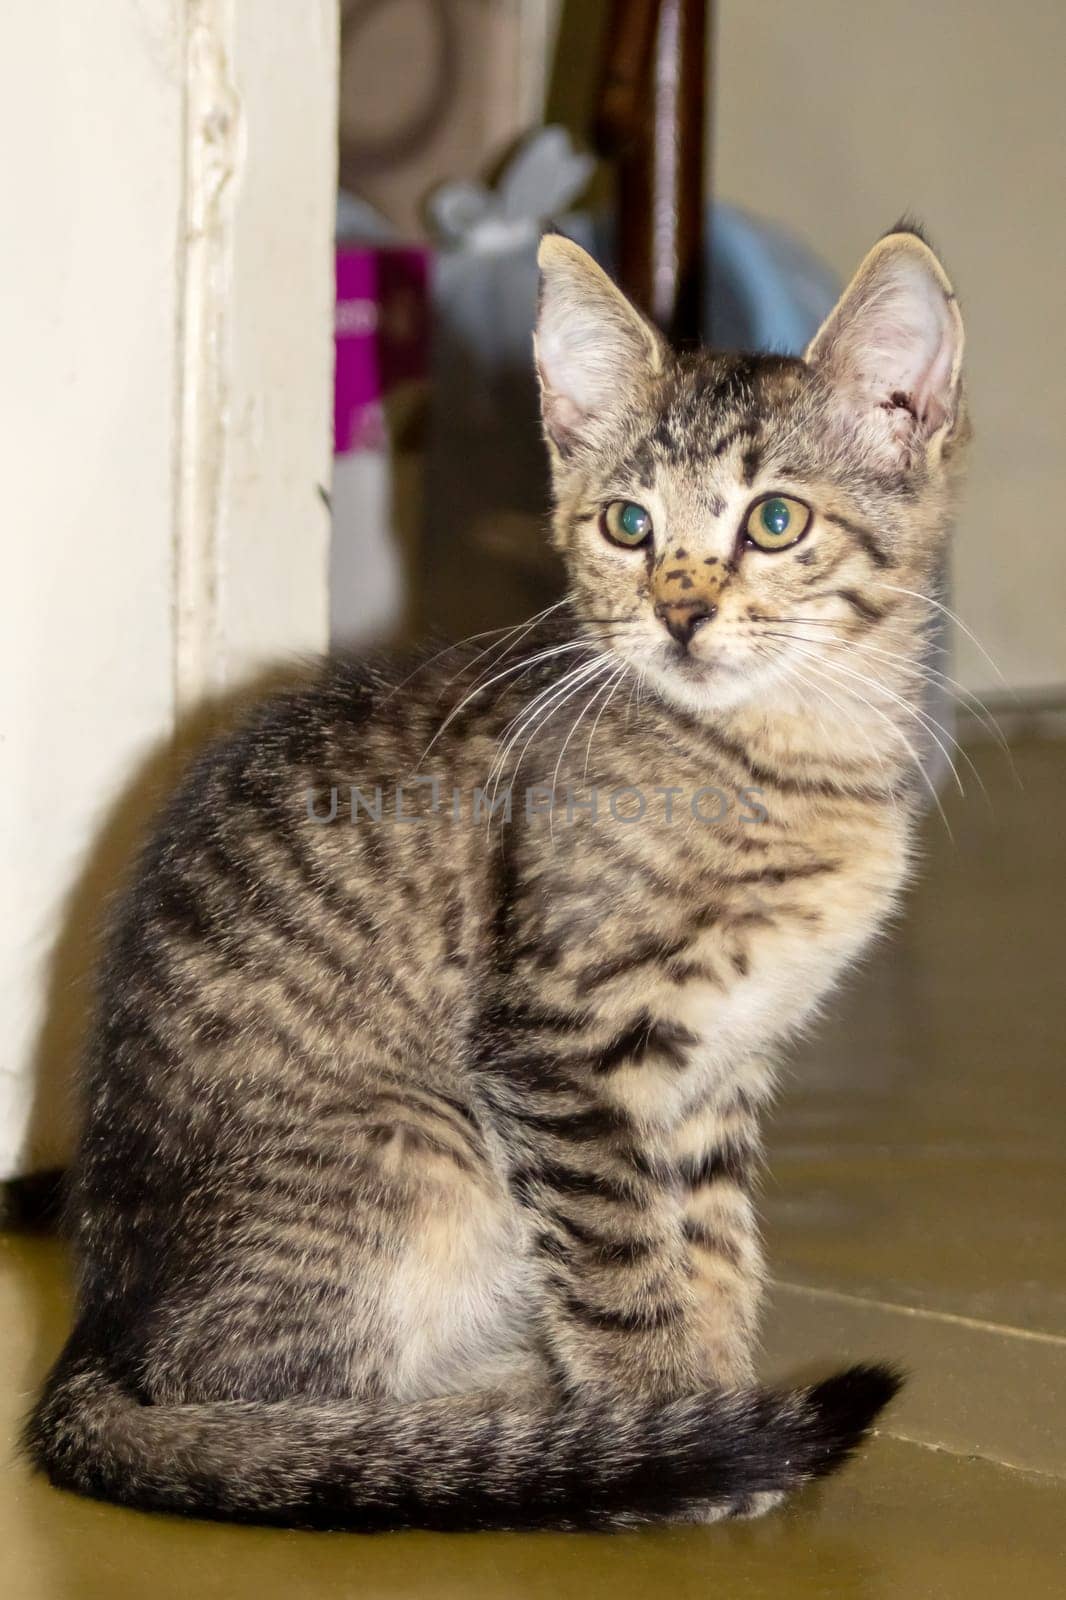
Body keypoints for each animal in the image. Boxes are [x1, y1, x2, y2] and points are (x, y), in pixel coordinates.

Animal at [31, 222, 960, 1523]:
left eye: (775, 521)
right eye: (627, 526)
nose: (679, 613)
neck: (788, 756)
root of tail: (95, 1332)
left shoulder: (720, 1068)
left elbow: (714, 1243)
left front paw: (714, 1394)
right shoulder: (556, 1040)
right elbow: (623, 1260)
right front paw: (671, 1423)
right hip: (431, 1145)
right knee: (259, 1403)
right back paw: (506, 1432)